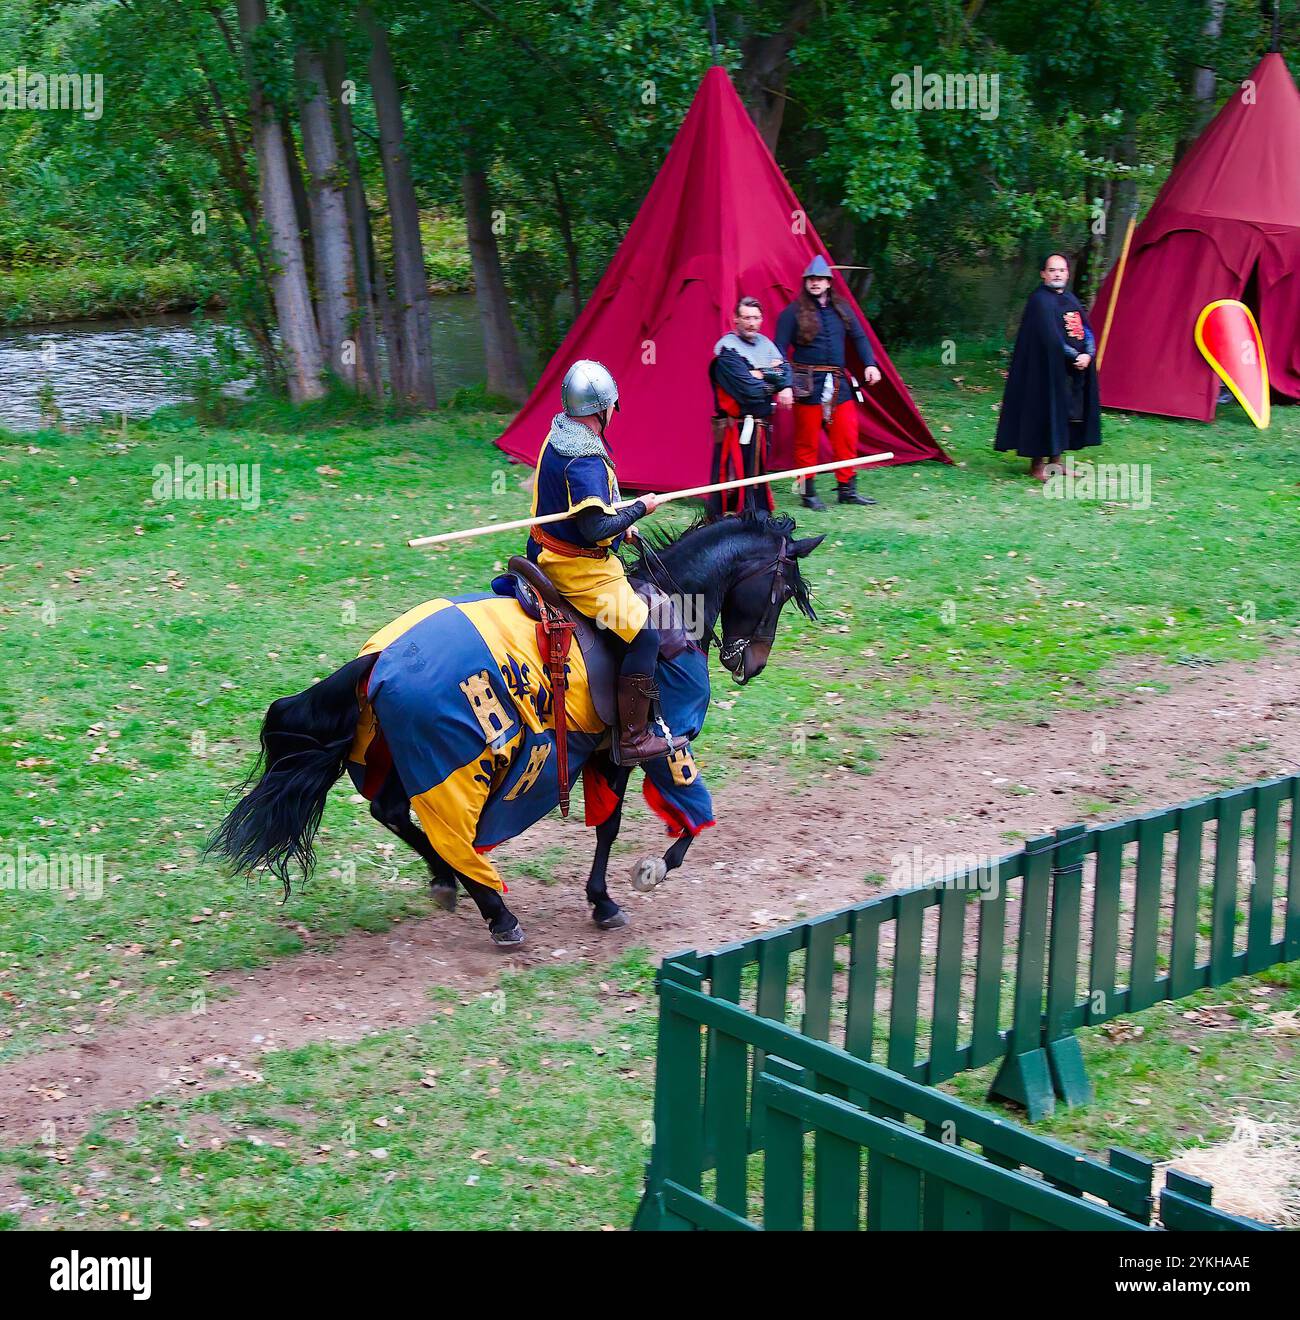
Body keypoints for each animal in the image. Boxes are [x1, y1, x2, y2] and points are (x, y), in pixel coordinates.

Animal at [209, 509, 828, 945]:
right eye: (781, 591)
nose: (751, 663)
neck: (673, 603)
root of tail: (380, 658)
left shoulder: (599, 753)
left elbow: (609, 824)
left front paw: (603, 897)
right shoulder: (649, 746)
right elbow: (656, 821)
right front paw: (637, 880)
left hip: (398, 751)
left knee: (391, 811)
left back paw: (448, 883)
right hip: (452, 763)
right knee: (445, 832)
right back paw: (497, 912)